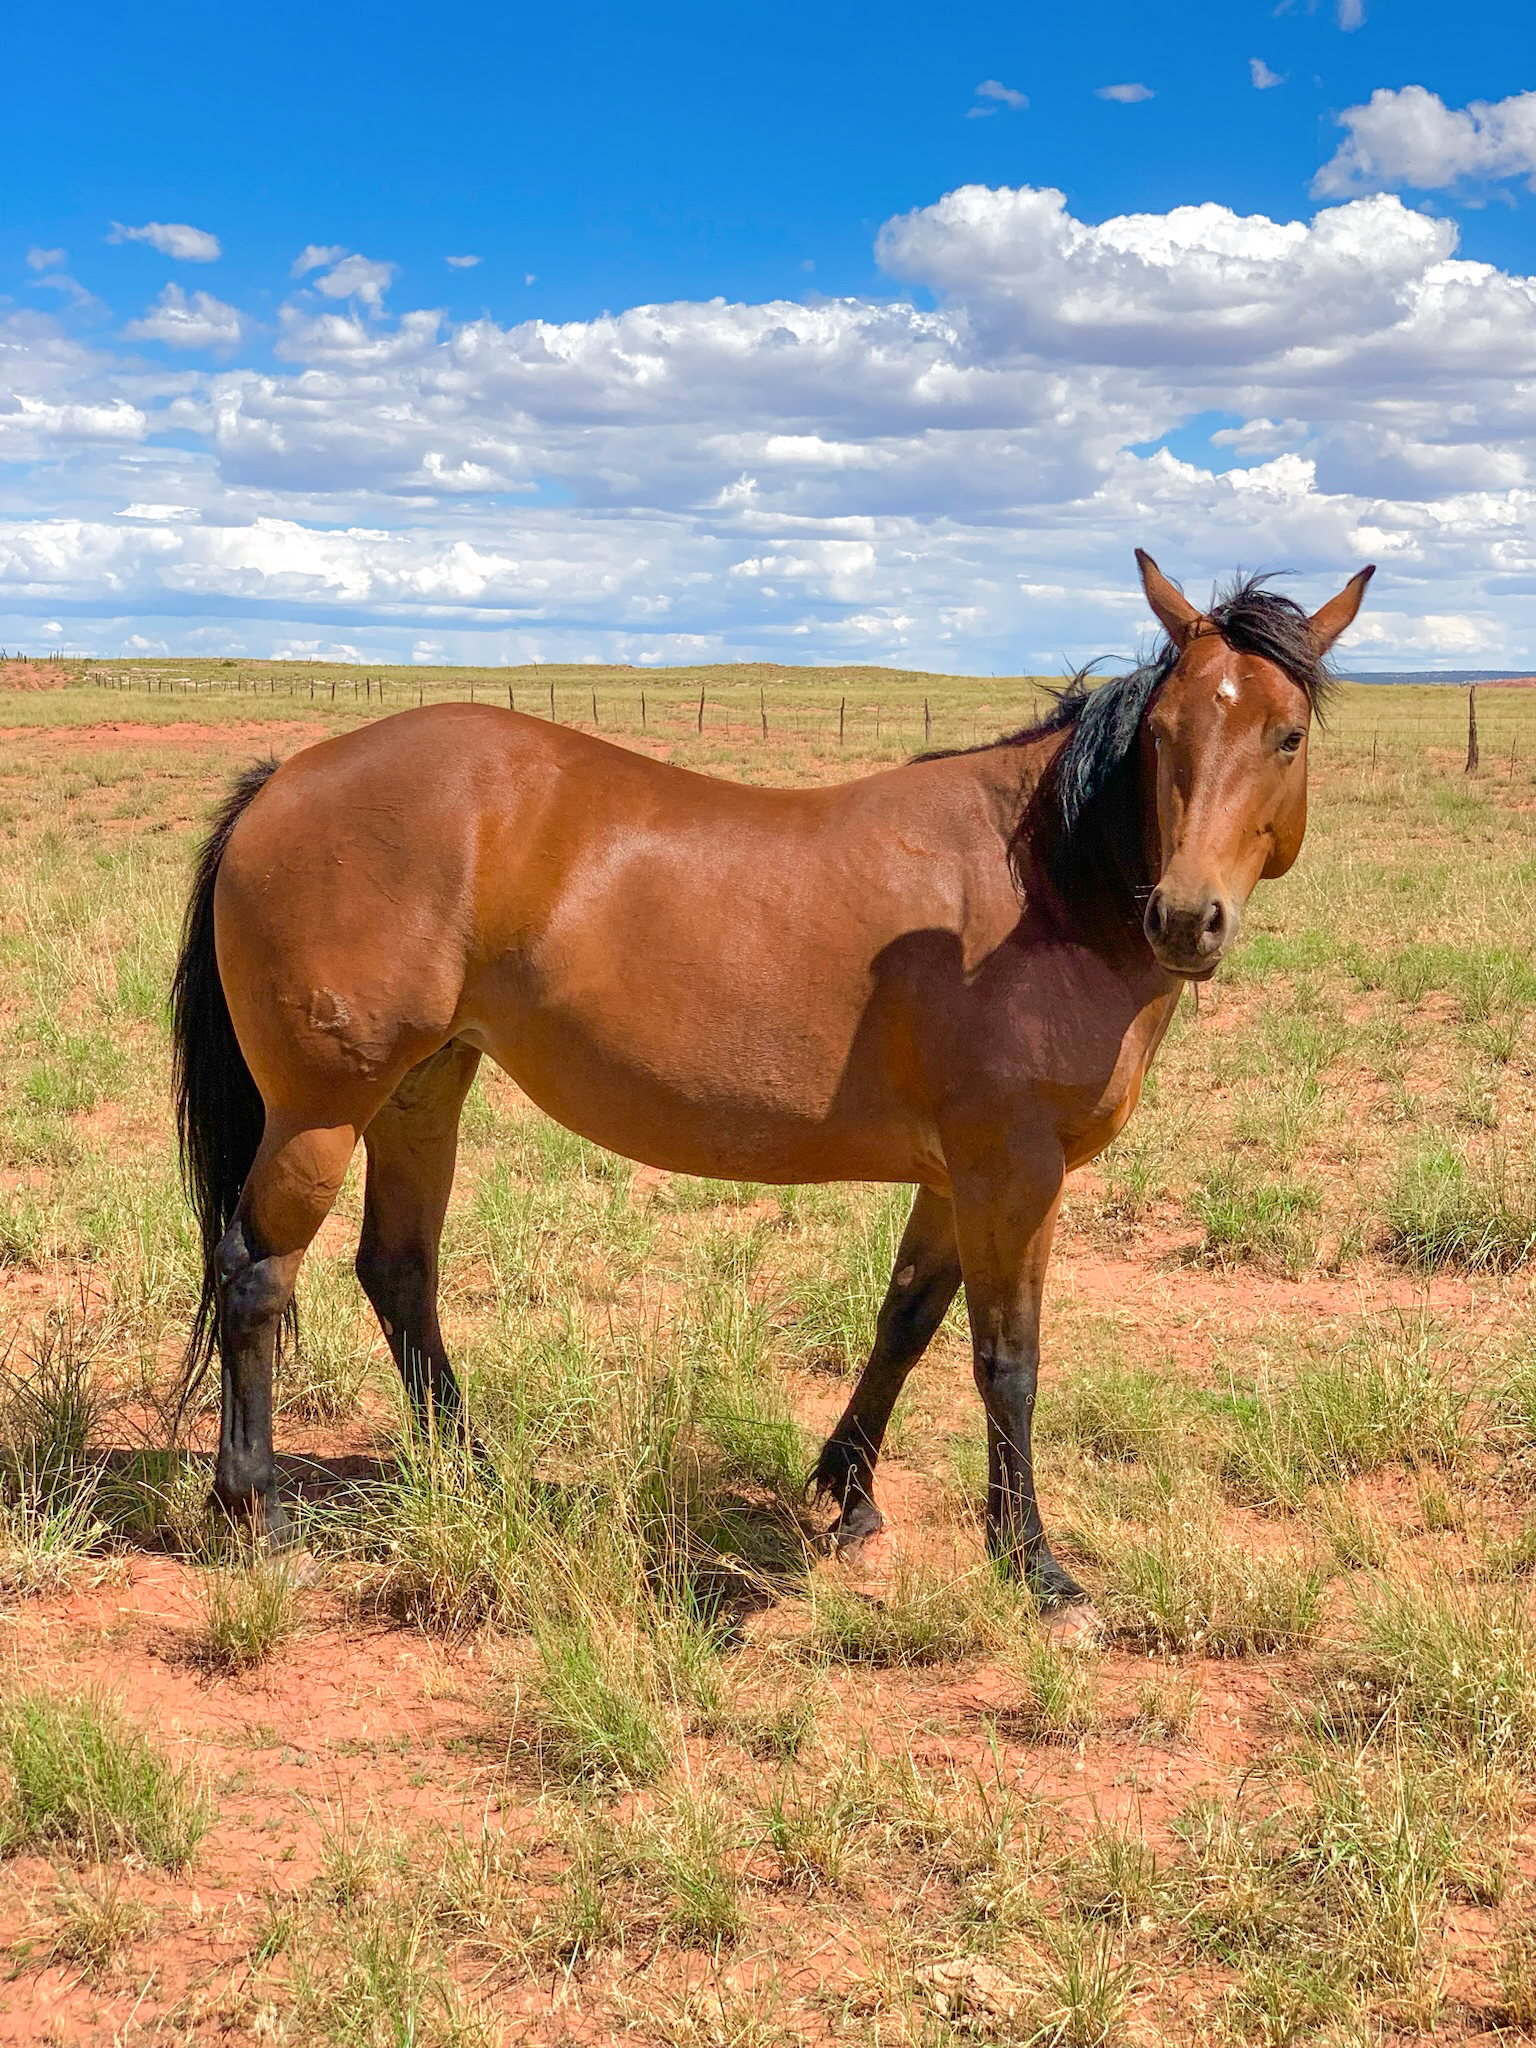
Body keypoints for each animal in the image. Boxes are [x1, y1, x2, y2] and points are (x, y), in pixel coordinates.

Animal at [171, 550, 1372, 1608]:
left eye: (1286, 734)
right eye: (1165, 734)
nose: (1184, 917)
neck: (1036, 891)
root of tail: (286, 777)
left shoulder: (957, 1177)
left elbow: (908, 1316)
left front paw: (851, 1492)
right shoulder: (1016, 1172)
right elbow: (1008, 1360)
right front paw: (1033, 1564)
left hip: (426, 1086)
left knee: (399, 1272)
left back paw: (475, 1475)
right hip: (322, 1111)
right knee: (255, 1274)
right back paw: (257, 1513)